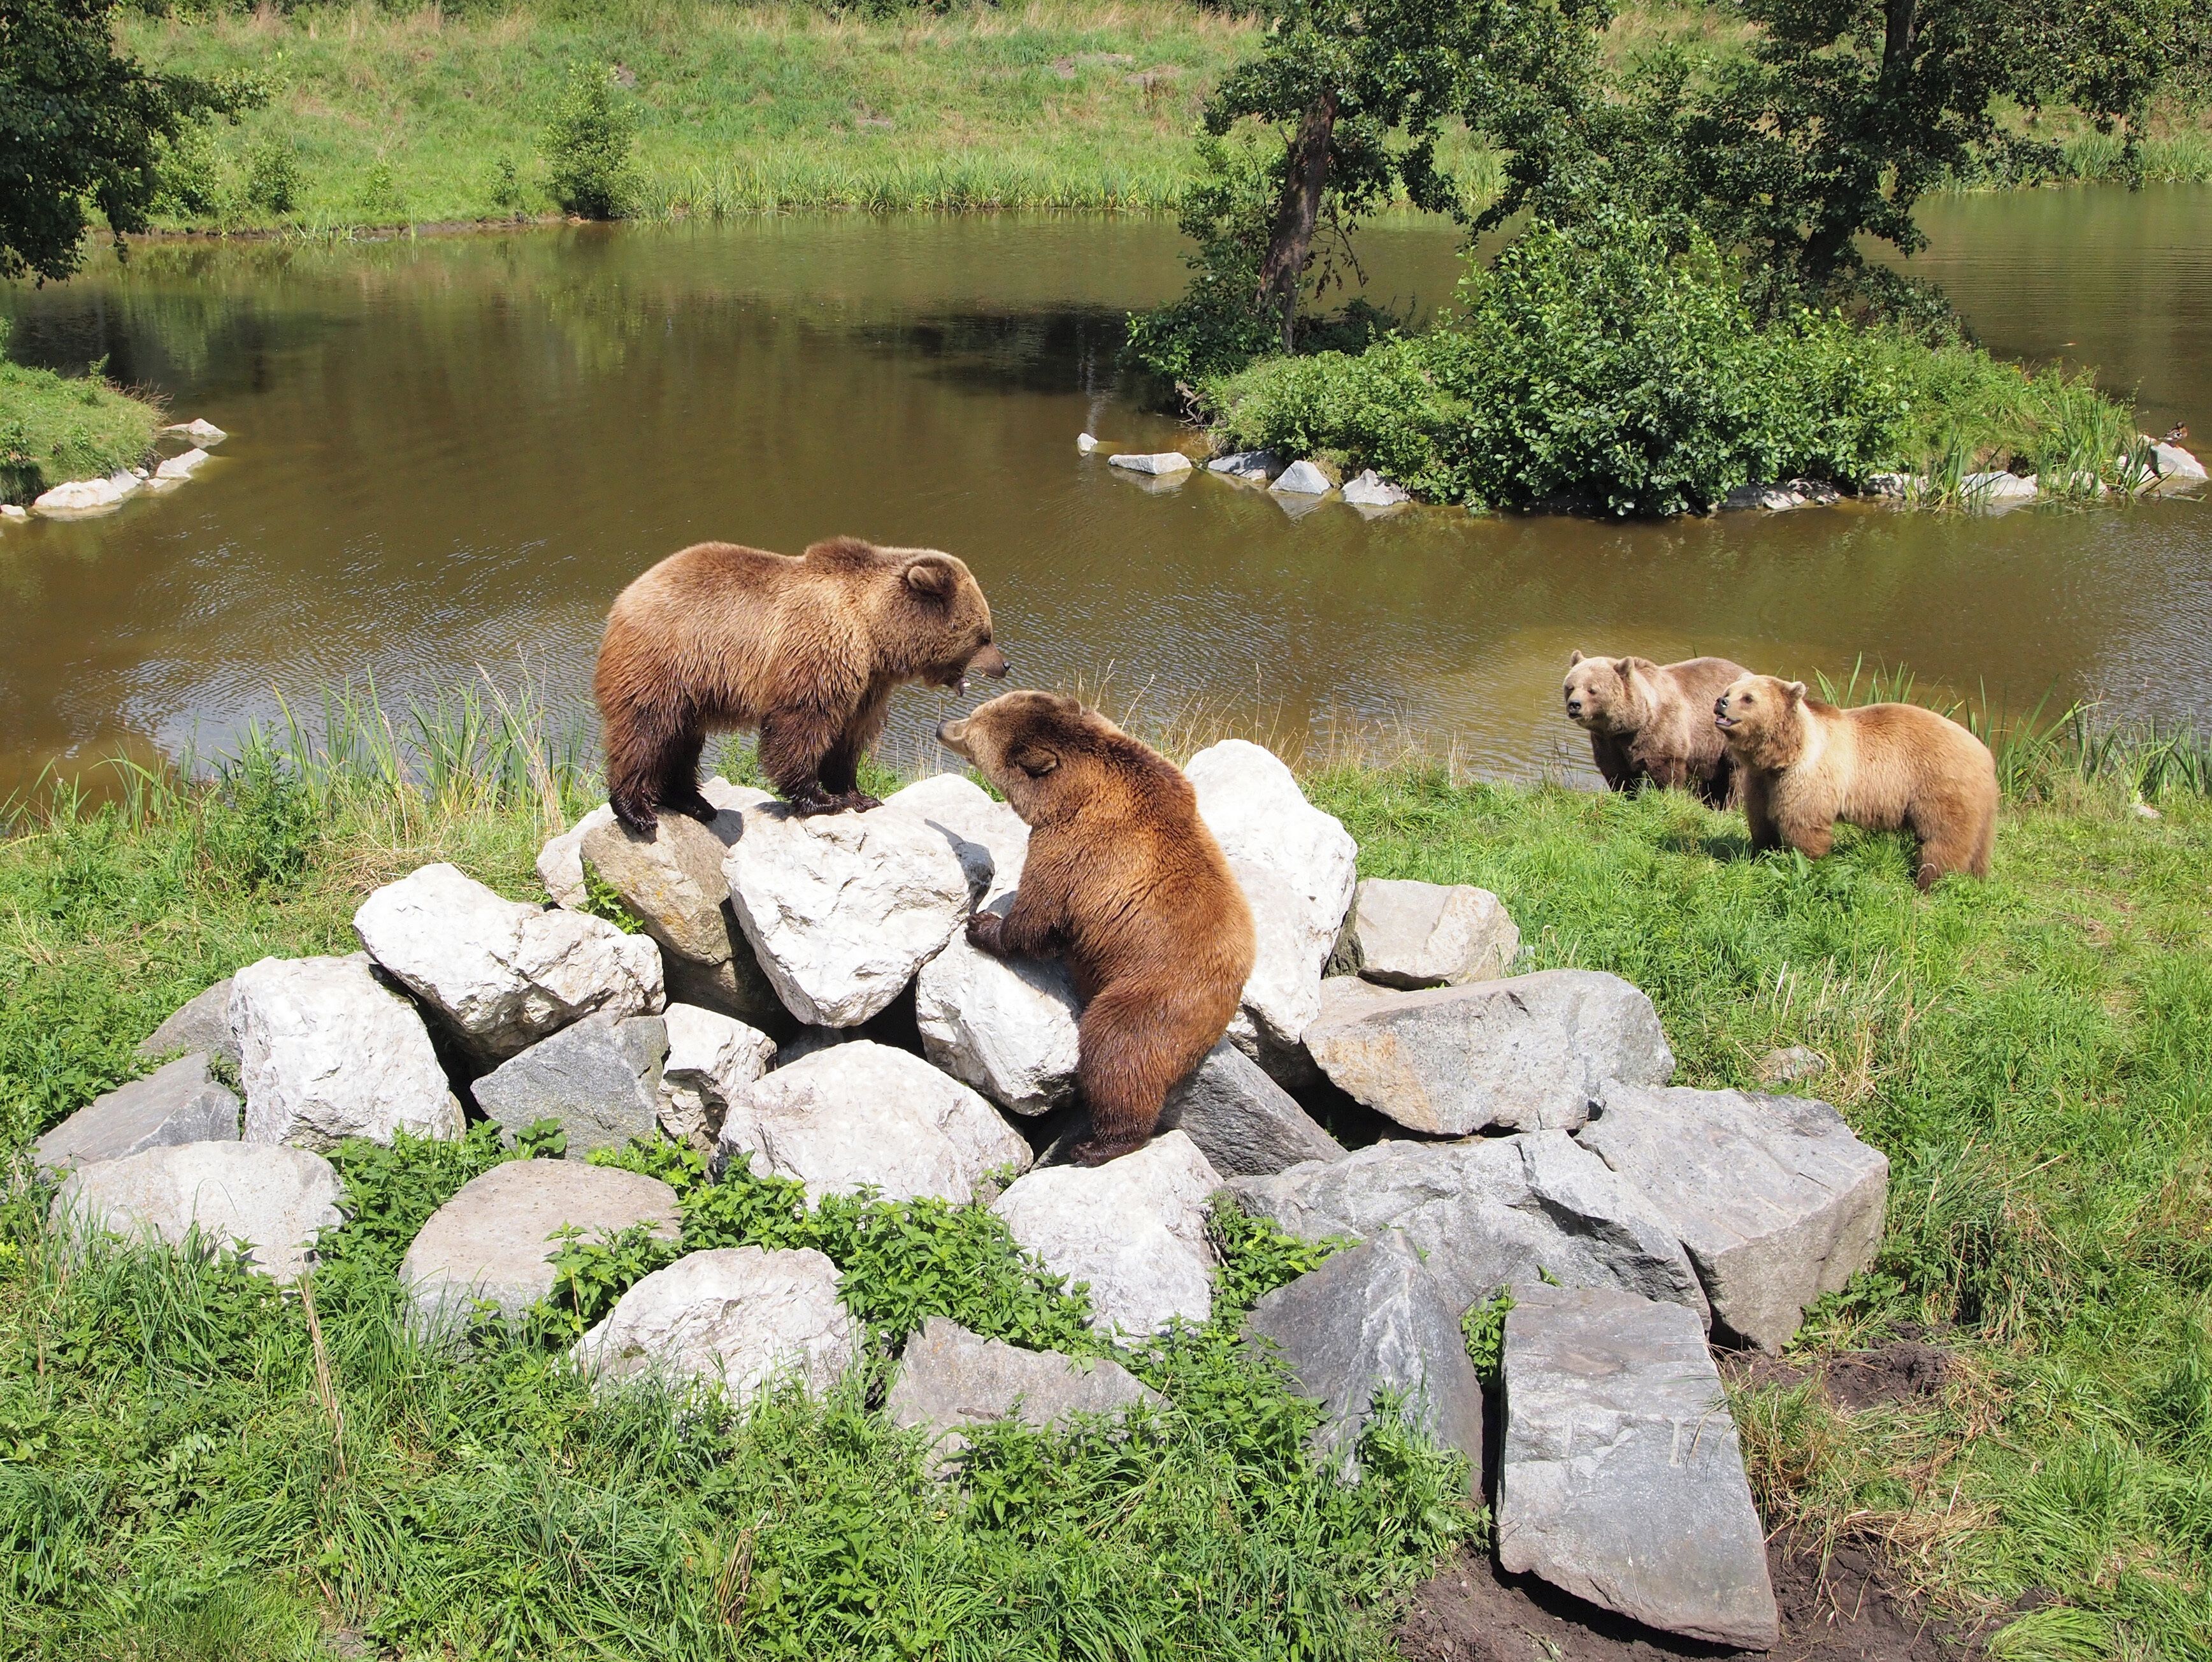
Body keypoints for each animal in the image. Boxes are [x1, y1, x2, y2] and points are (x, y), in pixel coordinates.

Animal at [595, 536, 1009, 832]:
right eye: (984, 636)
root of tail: (627, 594)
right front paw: (819, 800)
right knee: (647, 730)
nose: (1004, 665)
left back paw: (695, 803)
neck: (875, 634)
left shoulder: (867, 684)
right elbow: (803, 724)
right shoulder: (818, 651)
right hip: (665, 661)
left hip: (692, 689)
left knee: (681, 741)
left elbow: (848, 737)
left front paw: (858, 795)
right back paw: (637, 809)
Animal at [935, 691, 1256, 1167]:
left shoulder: (1075, 848)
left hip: (1153, 994)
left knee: (1117, 1052)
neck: (1073, 789)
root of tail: (1229, 997)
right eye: (977, 712)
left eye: (972, 730)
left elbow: (1039, 918)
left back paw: (1096, 1144)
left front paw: (983, 925)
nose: (944, 727)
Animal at [1562, 651, 1747, 807]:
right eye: (1570, 687)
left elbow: (1665, 772)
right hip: (1714, 752)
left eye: (1592, 690)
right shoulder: (1608, 741)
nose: (1574, 705)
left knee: (1737, 778)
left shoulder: (1663, 732)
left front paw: (1663, 796)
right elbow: (1618, 771)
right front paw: (1625, 795)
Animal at [1712, 674, 1998, 890]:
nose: (1721, 701)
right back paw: (1977, 877)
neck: (1784, 754)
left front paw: (1807, 861)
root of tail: (1986, 755)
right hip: (1979, 805)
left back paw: (1929, 882)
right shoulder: (1762, 781)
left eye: (1748, 698)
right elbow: (1762, 817)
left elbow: (1803, 823)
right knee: (1979, 844)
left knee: (1941, 840)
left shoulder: (1809, 776)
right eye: (1729, 689)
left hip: (1940, 787)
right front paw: (1763, 851)